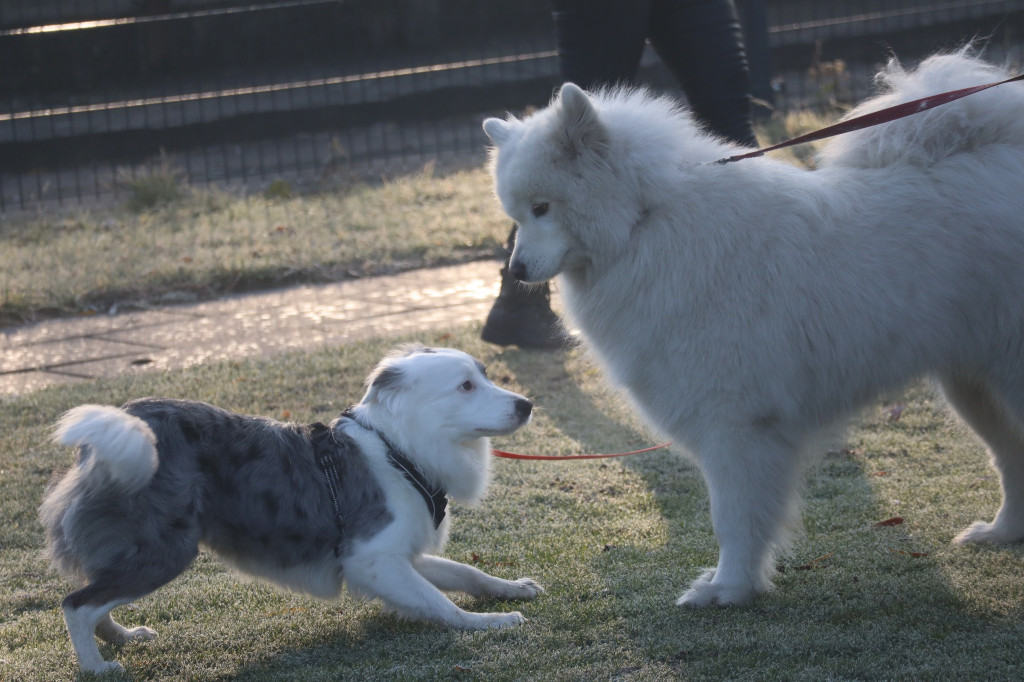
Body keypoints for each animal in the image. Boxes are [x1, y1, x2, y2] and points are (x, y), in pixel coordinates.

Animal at [483, 53, 1024, 606]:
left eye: (543, 208)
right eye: (516, 214)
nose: (517, 271)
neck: (644, 222)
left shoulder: (737, 425)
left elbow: (735, 519)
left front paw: (729, 588)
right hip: (973, 386)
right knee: (1010, 458)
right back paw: (1002, 532)